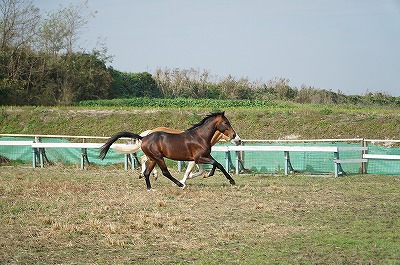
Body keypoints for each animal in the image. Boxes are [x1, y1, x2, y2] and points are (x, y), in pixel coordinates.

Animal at [100, 111, 238, 190]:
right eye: (225, 122)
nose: (234, 136)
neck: (200, 137)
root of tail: (144, 137)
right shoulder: (199, 157)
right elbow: (216, 164)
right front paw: (231, 180)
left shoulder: (204, 156)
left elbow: (217, 165)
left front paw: (209, 174)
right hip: (158, 157)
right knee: (165, 172)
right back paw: (180, 185)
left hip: (153, 159)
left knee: (147, 172)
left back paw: (150, 187)